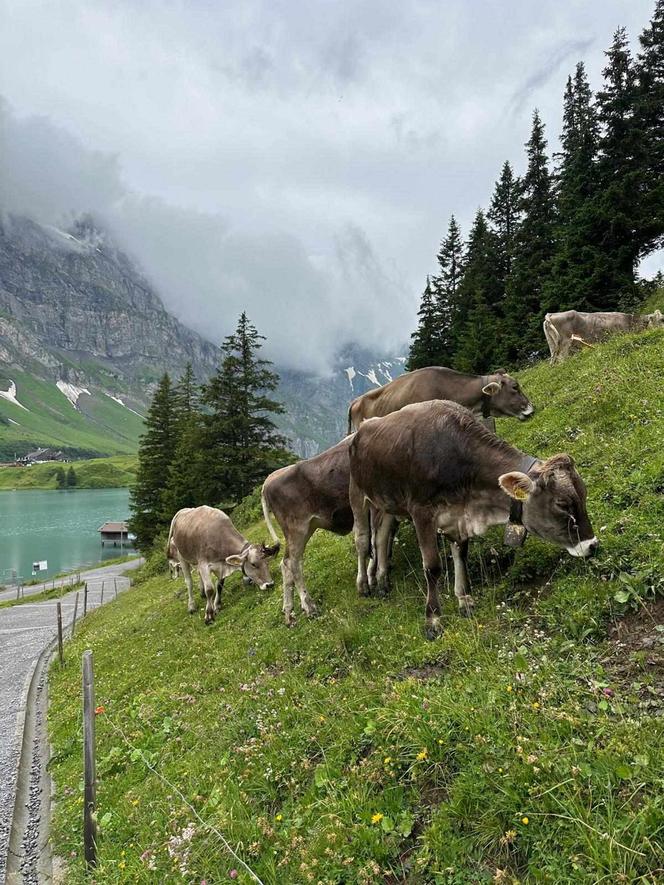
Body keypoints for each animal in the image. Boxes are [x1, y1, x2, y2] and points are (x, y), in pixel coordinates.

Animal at [350, 398, 600, 636]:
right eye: (562, 504)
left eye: (584, 495)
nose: (593, 545)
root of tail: (363, 426)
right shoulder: (421, 512)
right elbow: (432, 567)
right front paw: (433, 619)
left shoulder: (458, 514)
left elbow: (461, 555)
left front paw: (464, 599)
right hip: (358, 496)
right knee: (363, 541)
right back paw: (363, 585)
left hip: (386, 503)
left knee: (381, 539)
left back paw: (383, 581)